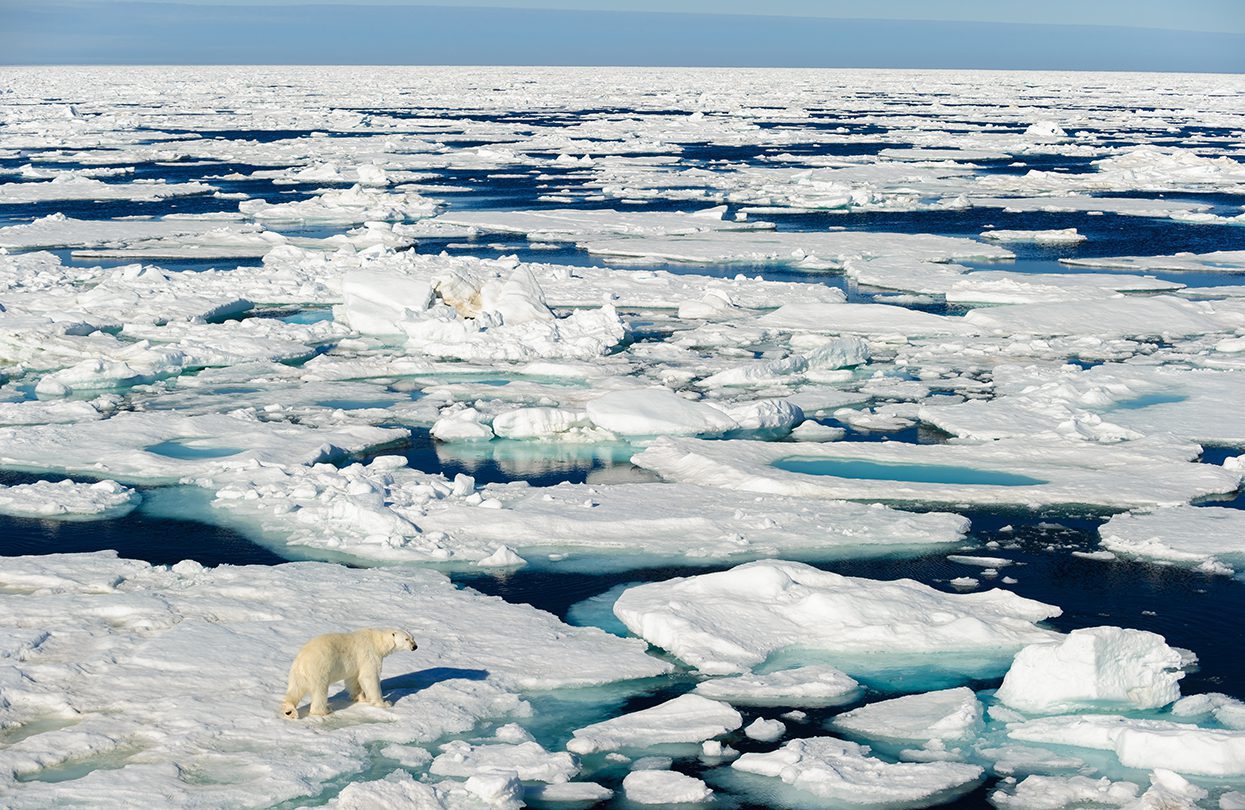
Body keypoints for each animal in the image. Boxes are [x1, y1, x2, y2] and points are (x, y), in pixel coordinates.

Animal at [282, 629, 418, 721]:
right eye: (406, 639)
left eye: (413, 637)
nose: (415, 646)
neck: (377, 640)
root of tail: (301, 661)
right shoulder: (369, 655)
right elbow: (369, 677)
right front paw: (384, 703)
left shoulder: (355, 664)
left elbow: (353, 679)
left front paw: (360, 698)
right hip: (319, 669)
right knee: (320, 691)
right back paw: (324, 711)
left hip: (297, 673)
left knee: (295, 689)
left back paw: (289, 711)